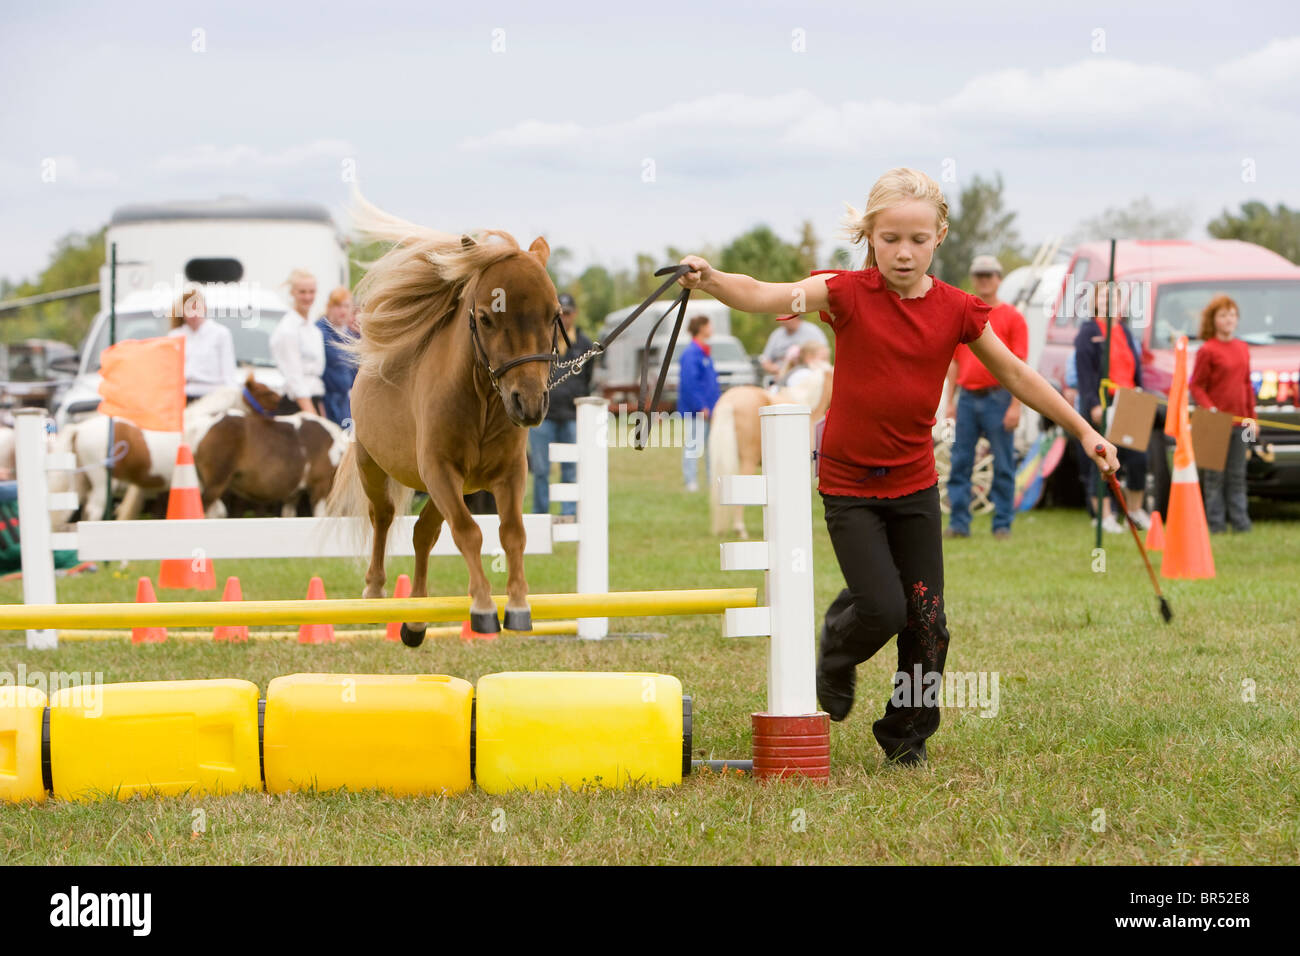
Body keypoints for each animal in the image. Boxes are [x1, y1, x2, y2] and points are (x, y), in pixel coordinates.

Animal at [325, 193, 561, 647]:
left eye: (553, 314)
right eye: (487, 317)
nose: (529, 404)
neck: (482, 403)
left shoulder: (508, 474)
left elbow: (512, 533)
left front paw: (518, 606)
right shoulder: (439, 469)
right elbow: (469, 532)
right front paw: (484, 608)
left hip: (442, 490)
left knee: (424, 534)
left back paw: (416, 620)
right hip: (376, 468)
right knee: (383, 518)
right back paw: (375, 589)